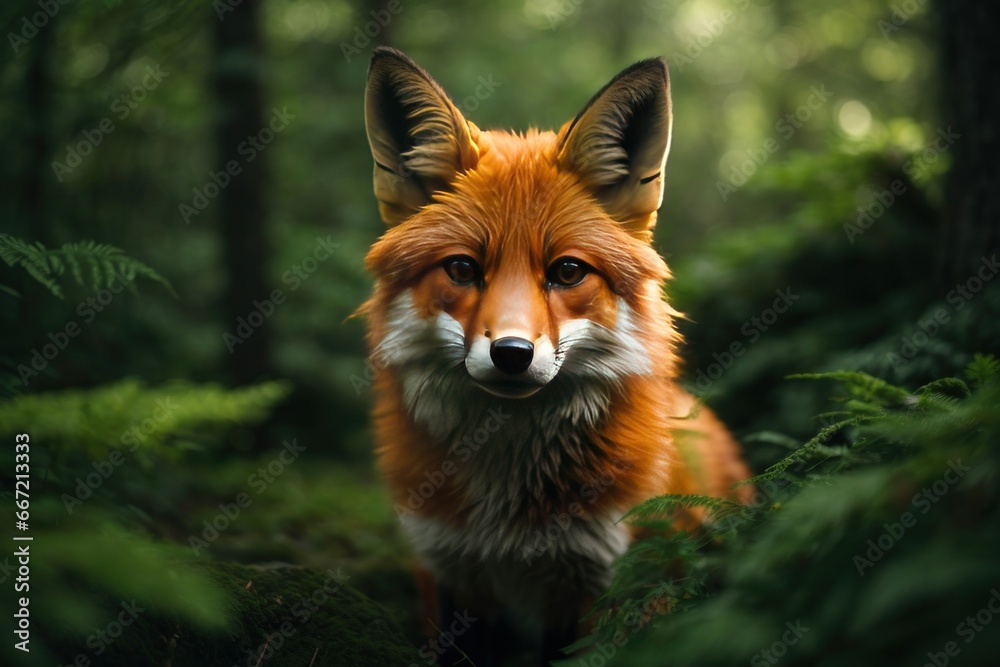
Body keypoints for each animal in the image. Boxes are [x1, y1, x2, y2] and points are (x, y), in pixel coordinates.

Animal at [361, 46, 752, 665]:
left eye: (567, 271)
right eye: (462, 269)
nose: (511, 353)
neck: (510, 514)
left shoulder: (604, 582)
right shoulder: (448, 573)